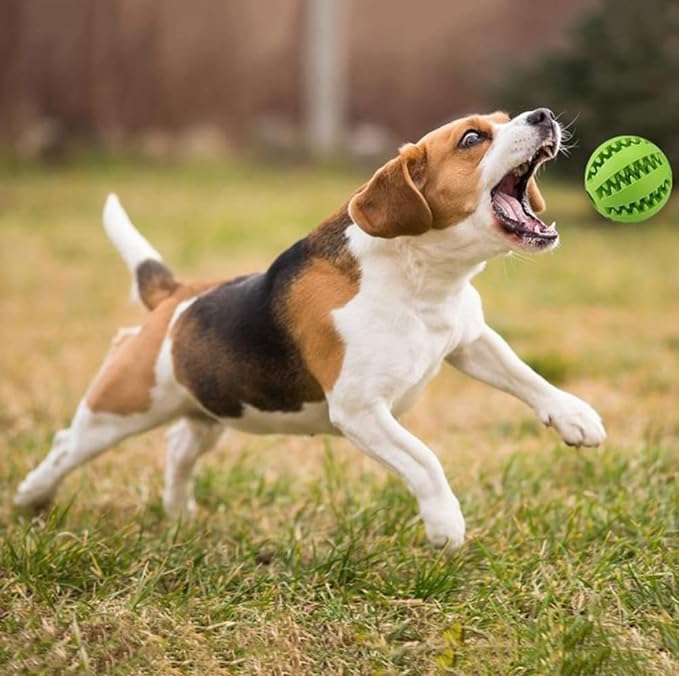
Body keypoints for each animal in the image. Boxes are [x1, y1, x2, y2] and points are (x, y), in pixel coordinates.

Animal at [13, 107, 604, 548]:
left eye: (506, 119)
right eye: (473, 138)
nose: (543, 115)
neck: (422, 279)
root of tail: (176, 297)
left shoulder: (470, 341)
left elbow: (526, 377)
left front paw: (575, 417)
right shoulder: (361, 410)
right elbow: (425, 460)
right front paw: (445, 523)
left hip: (210, 410)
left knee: (180, 445)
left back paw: (178, 511)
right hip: (120, 406)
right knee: (67, 445)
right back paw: (30, 498)